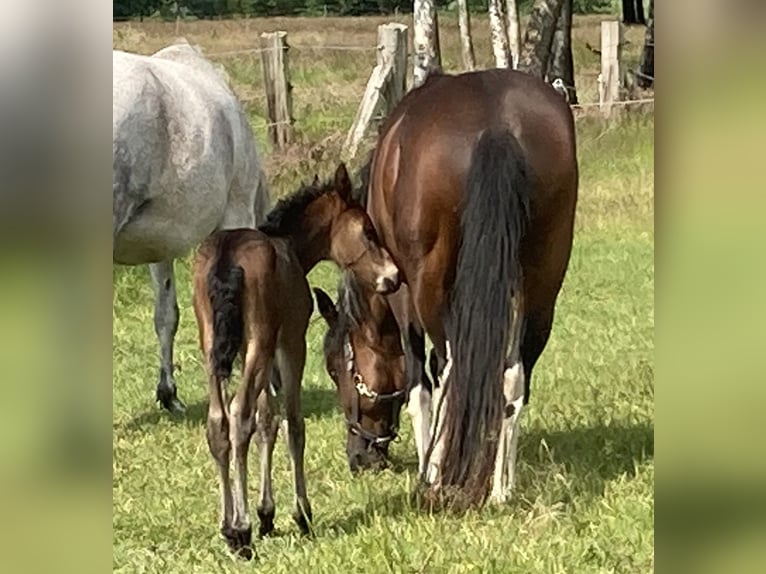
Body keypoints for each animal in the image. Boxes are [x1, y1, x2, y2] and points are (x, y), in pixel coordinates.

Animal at [192, 163, 400, 558]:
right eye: (368, 230)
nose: (393, 277)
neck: (289, 248)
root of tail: (227, 255)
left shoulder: (259, 352)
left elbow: (267, 421)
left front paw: (267, 514)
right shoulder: (290, 343)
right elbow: (292, 423)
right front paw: (301, 514)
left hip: (212, 344)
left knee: (218, 421)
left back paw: (227, 527)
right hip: (258, 341)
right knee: (238, 414)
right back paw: (241, 531)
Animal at [333, 68, 579, 509]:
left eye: (335, 368)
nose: (359, 457)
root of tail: (497, 125)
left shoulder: (403, 295)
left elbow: (420, 384)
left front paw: (428, 468)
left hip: (431, 287)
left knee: (451, 369)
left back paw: (444, 477)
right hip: (543, 282)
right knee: (514, 374)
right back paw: (500, 487)